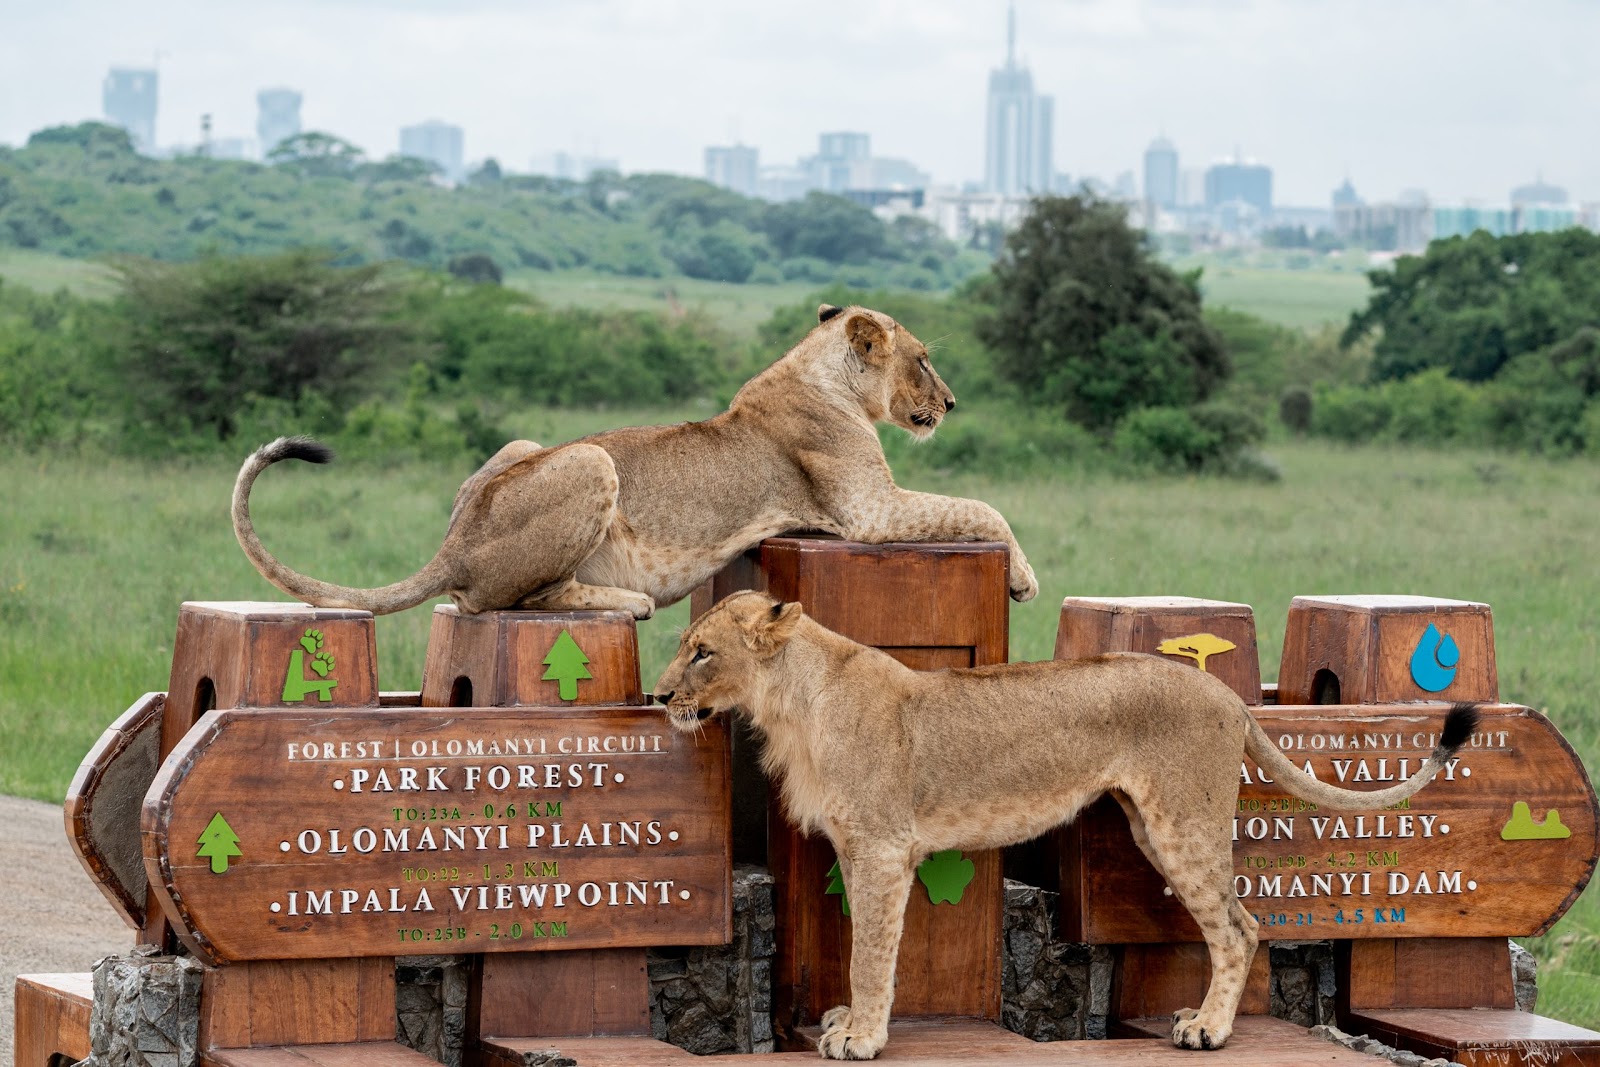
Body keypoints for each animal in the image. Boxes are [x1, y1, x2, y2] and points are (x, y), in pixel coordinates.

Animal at [231, 305, 1037, 617]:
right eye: (924, 359)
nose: (954, 401)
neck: (821, 374)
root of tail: (453, 543)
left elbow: (975, 504)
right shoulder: (868, 511)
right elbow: (983, 506)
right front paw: (1024, 578)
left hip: (526, 447)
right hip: (591, 461)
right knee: (505, 600)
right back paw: (625, 600)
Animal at [653, 591, 1478, 1060]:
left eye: (702, 651)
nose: (660, 696)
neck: (791, 701)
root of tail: (1229, 696)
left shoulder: (884, 846)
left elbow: (871, 952)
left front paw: (861, 1037)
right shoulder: (859, 849)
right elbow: (865, 947)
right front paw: (849, 1020)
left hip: (1183, 824)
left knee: (1241, 925)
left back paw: (1208, 1030)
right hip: (1151, 824)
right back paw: (1196, 1015)